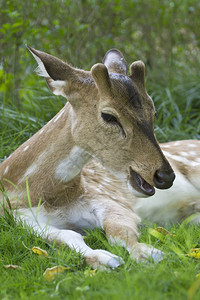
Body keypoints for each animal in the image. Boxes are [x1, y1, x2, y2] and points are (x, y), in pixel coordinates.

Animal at [0, 46, 196, 270]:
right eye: (108, 116)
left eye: (153, 111)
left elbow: (120, 231)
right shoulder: (19, 218)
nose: (165, 176)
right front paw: (106, 260)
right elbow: (66, 236)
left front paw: (150, 254)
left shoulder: (106, 198)